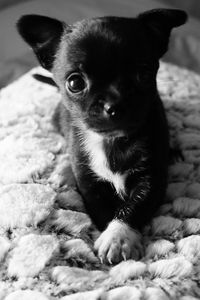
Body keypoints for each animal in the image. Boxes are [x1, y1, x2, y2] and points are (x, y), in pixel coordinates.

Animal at [17, 8, 188, 264]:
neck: (113, 142)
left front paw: (119, 236)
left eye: (144, 74)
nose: (114, 105)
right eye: (75, 82)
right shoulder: (90, 183)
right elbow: (104, 210)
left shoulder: (151, 180)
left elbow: (134, 206)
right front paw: (112, 235)